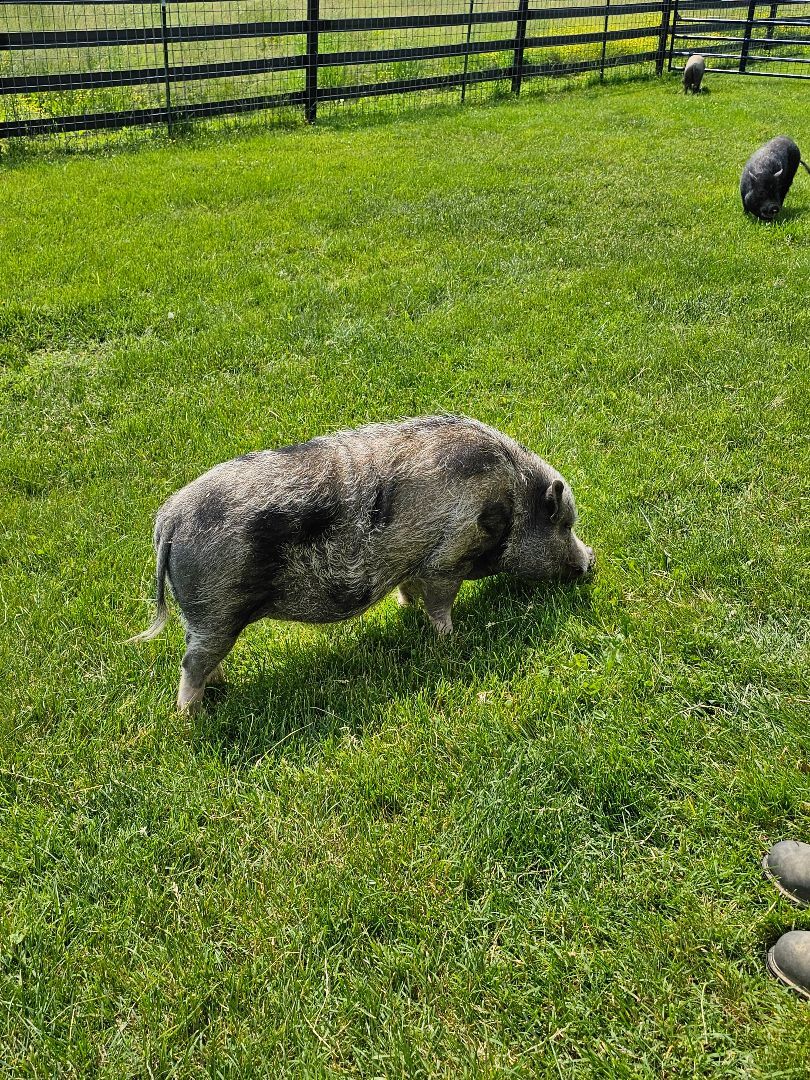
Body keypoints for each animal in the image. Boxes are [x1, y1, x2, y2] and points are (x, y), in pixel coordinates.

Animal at [131, 415, 595, 712]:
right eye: (564, 524)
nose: (592, 561)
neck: (511, 499)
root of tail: (169, 519)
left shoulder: (416, 564)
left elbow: (411, 591)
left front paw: (407, 609)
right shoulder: (448, 556)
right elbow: (441, 603)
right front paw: (452, 641)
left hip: (207, 617)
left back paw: (219, 689)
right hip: (216, 610)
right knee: (189, 665)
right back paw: (192, 716)